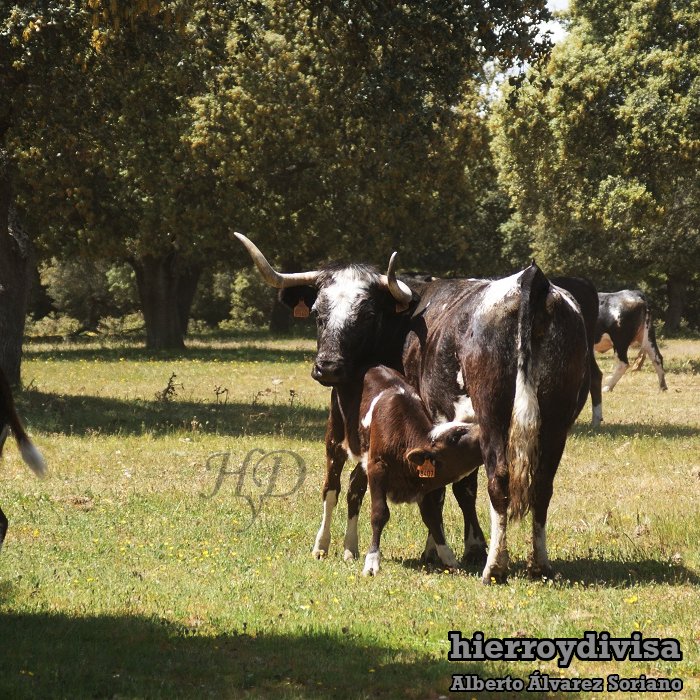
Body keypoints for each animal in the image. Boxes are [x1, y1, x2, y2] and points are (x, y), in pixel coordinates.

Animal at [357, 365, 482, 576]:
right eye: (455, 437)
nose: (484, 430)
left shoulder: (426, 485)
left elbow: (433, 517)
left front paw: (448, 558)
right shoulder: (376, 468)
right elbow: (379, 513)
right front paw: (372, 560)